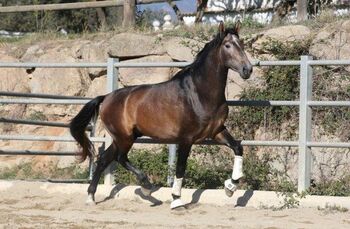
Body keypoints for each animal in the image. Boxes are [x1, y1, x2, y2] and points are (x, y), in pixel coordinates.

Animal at [69, 21, 253, 209]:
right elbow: (180, 168)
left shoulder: (217, 131)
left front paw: (230, 187)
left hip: (123, 137)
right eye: (228, 45)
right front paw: (176, 200)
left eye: (242, 44)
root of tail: (106, 97)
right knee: (120, 157)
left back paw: (91, 197)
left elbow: (238, 147)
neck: (200, 93)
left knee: (104, 159)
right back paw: (146, 186)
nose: (247, 69)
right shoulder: (186, 139)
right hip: (124, 137)